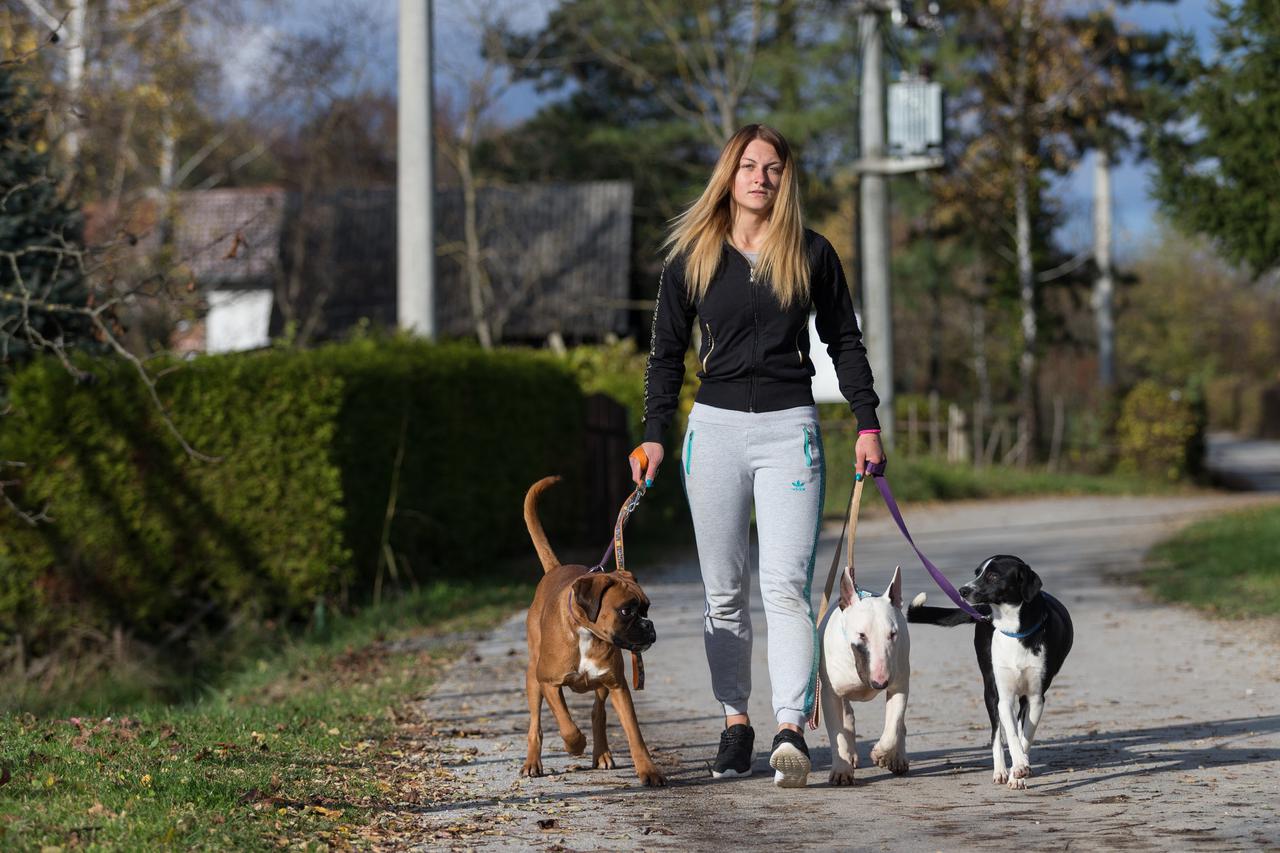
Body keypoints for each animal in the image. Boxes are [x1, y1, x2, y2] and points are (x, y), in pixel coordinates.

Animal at [519, 473, 665, 778]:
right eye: (626, 610)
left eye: (646, 608)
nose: (648, 625)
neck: (585, 632)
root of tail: (554, 570)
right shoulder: (549, 682)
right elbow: (566, 724)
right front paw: (575, 745)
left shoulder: (618, 686)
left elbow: (634, 733)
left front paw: (648, 770)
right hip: (533, 679)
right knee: (536, 725)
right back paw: (532, 762)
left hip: (602, 684)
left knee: (598, 713)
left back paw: (603, 753)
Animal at [906, 555, 1075, 788]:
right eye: (977, 572)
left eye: (994, 576)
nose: (962, 590)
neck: (1015, 631)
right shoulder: (1003, 697)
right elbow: (1011, 735)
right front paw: (1017, 768)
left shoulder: (1036, 698)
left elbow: (1025, 736)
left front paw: (1019, 772)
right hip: (990, 691)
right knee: (996, 733)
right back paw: (1000, 771)